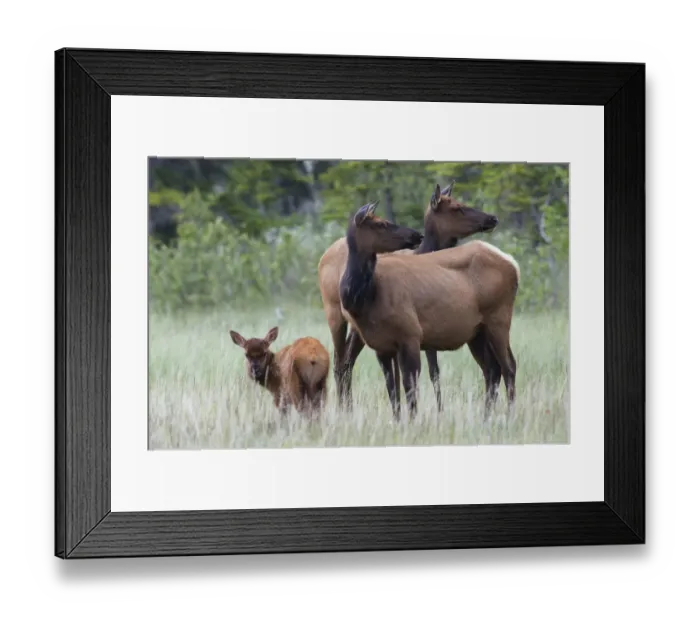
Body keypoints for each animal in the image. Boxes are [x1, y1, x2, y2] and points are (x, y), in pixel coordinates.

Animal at [317, 182, 501, 418]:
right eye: (456, 208)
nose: (492, 218)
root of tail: (323, 257)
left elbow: (429, 372)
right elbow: (425, 373)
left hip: (357, 329)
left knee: (347, 360)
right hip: (334, 315)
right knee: (339, 361)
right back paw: (344, 410)